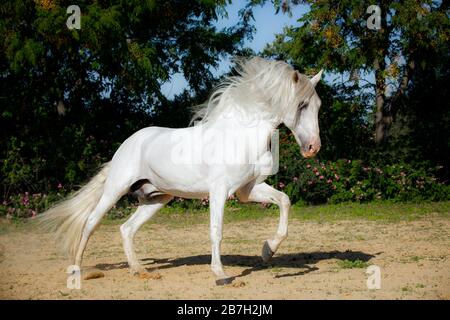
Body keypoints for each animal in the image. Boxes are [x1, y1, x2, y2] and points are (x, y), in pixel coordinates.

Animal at [40, 57, 322, 284]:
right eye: (301, 105)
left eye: (318, 106)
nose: (313, 148)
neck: (240, 135)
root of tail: (126, 145)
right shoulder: (219, 191)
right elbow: (216, 231)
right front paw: (221, 276)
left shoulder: (247, 190)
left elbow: (284, 201)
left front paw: (267, 251)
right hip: (115, 190)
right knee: (90, 224)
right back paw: (77, 271)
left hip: (157, 198)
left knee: (126, 229)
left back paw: (140, 271)